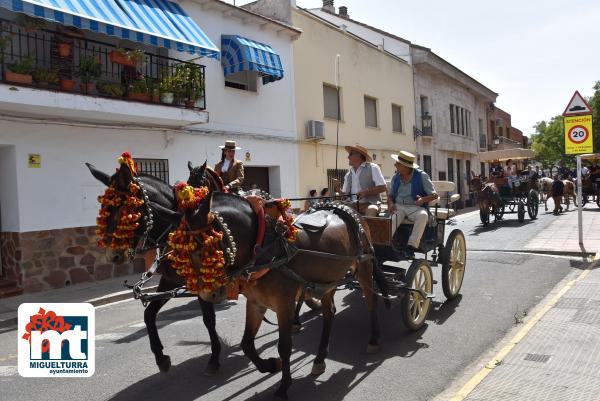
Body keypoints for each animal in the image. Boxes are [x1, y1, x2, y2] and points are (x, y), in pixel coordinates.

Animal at [88, 159, 227, 376]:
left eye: (125, 212)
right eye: (104, 211)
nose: (113, 256)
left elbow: (208, 319)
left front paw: (214, 357)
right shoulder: (169, 281)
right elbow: (149, 315)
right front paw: (161, 357)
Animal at [179, 186, 390, 398]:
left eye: (207, 249)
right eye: (186, 251)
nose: (209, 295)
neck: (264, 248)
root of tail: (346, 207)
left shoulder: (284, 305)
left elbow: (285, 346)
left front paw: (283, 386)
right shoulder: (256, 303)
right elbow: (246, 343)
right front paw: (271, 365)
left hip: (364, 266)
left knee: (371, 300)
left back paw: (373, 339)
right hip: (328, 280)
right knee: (329, 312)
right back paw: (320, 358)